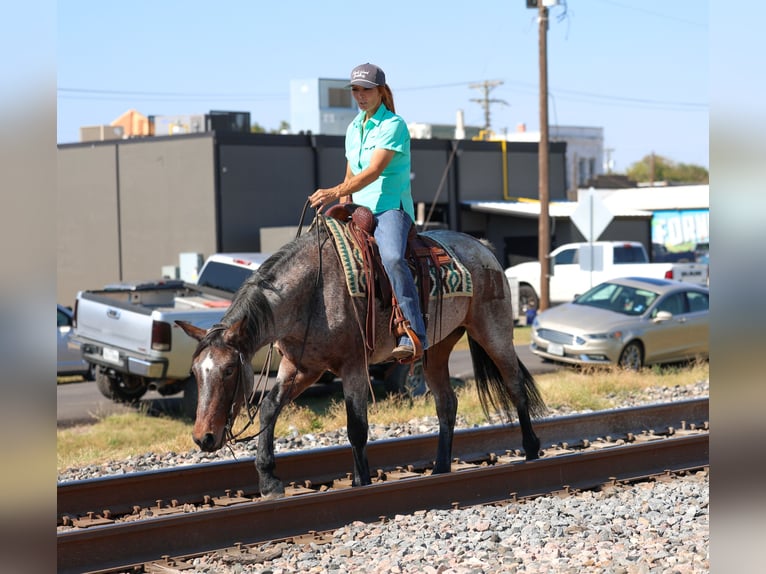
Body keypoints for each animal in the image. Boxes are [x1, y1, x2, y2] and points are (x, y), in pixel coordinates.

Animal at [177, 217, 547, 499]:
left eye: (228, 370)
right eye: (196, 371)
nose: (203, 437)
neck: (313, 291)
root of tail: (483, 247)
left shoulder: (353, 365)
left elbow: (356, 425)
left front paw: (361, 481)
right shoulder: (301, 368)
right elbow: (269, 407)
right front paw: (269, 481)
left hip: (493, 331)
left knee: (515, 385)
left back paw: (531, 449)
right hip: (437, 349)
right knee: (446, 403)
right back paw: (441, 467)